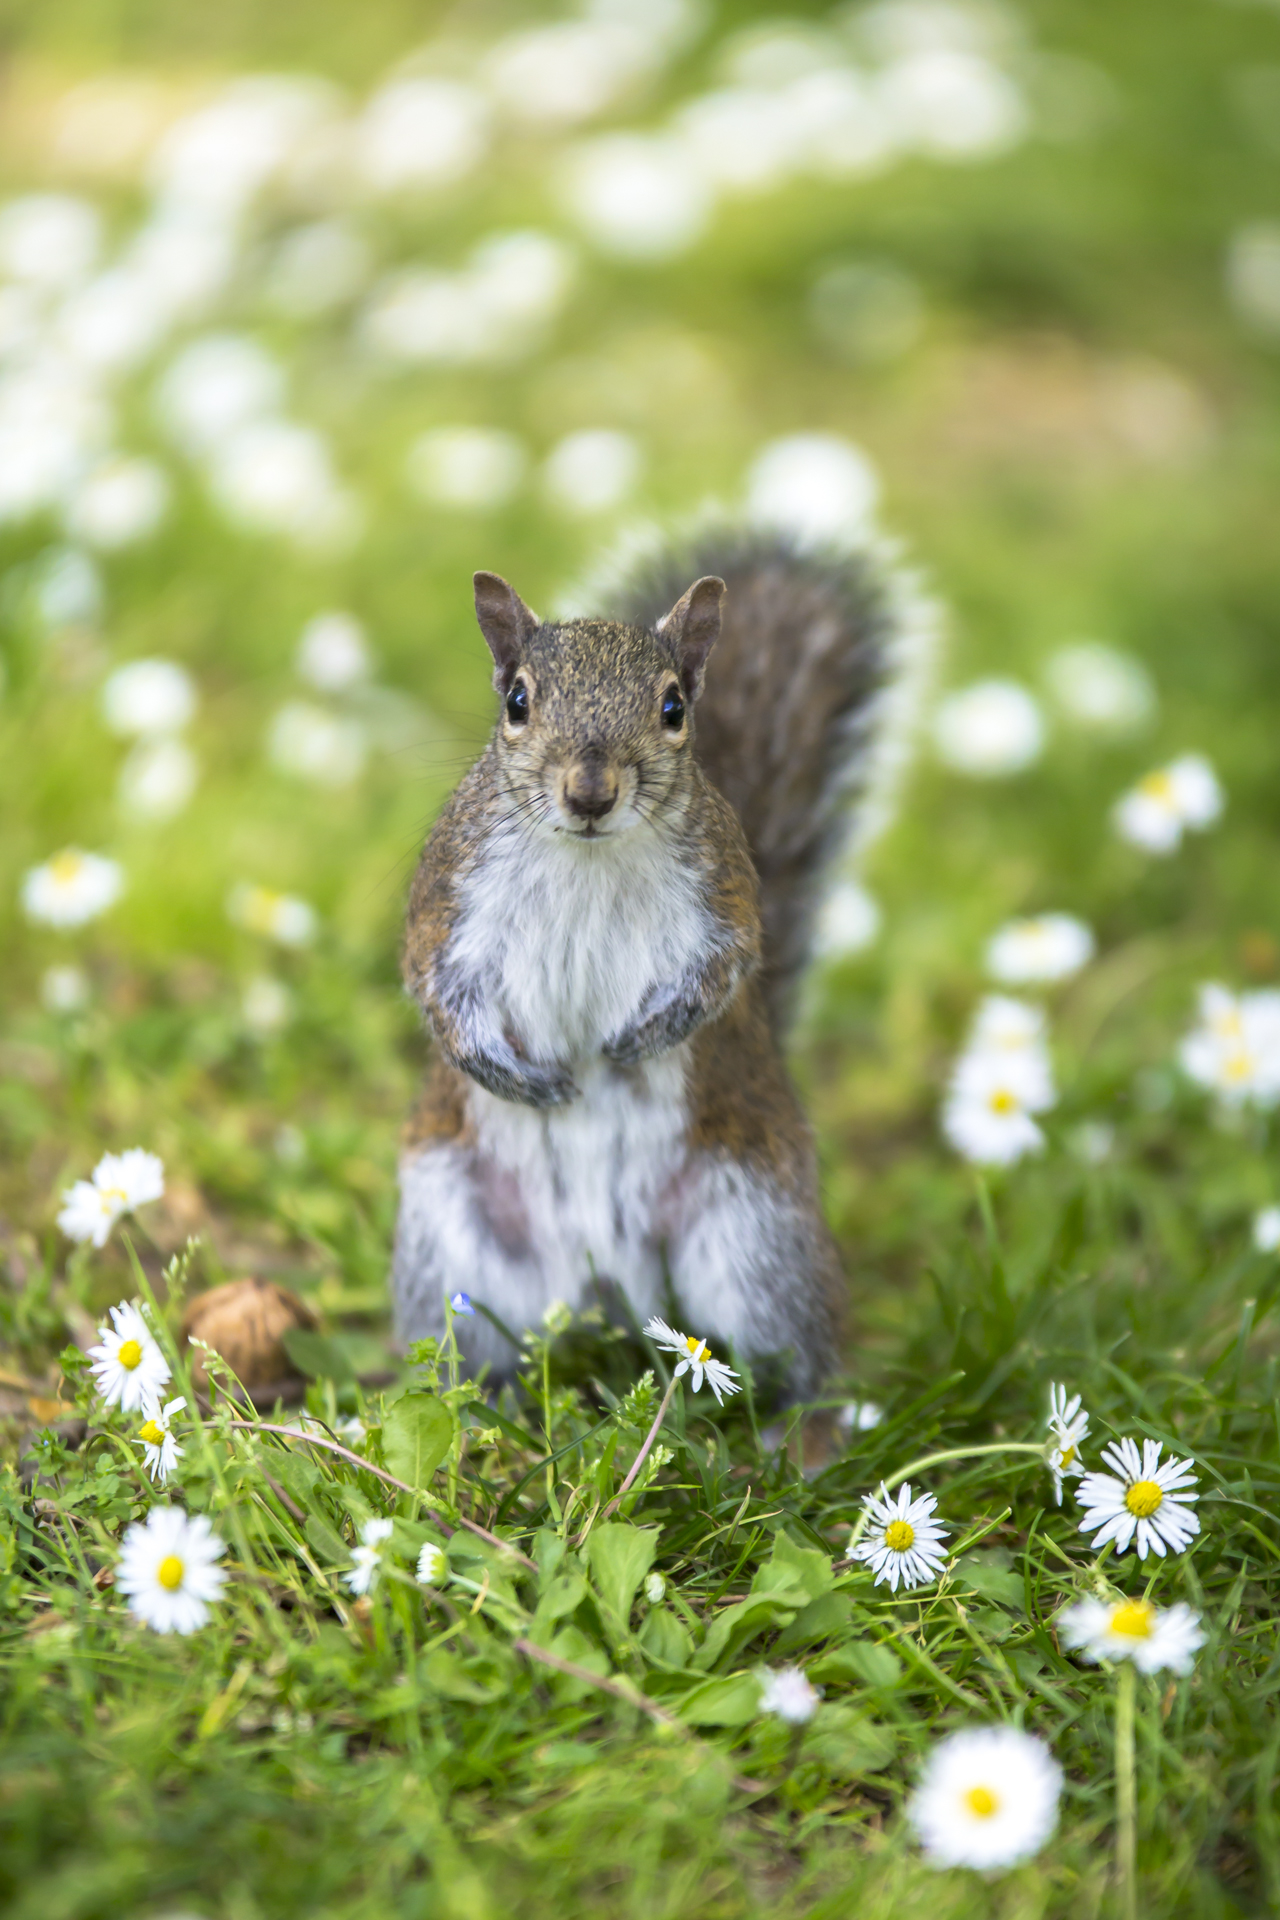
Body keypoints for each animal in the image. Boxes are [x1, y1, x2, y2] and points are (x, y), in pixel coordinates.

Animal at [393, 524, 924, 1396]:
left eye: (674, 708)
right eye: (517, 702)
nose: (590, 792)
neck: (586, 856)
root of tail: (602, 1290)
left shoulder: (723, 898)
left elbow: (721, 975)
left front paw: (636, 1043)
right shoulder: (448, 900)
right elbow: (437, 992)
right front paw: (520, 1078)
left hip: (757, 1237)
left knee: (795, 1358)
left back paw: (806, 1419)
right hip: (447, 1245)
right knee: (461, 1353)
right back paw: (471, 1403)